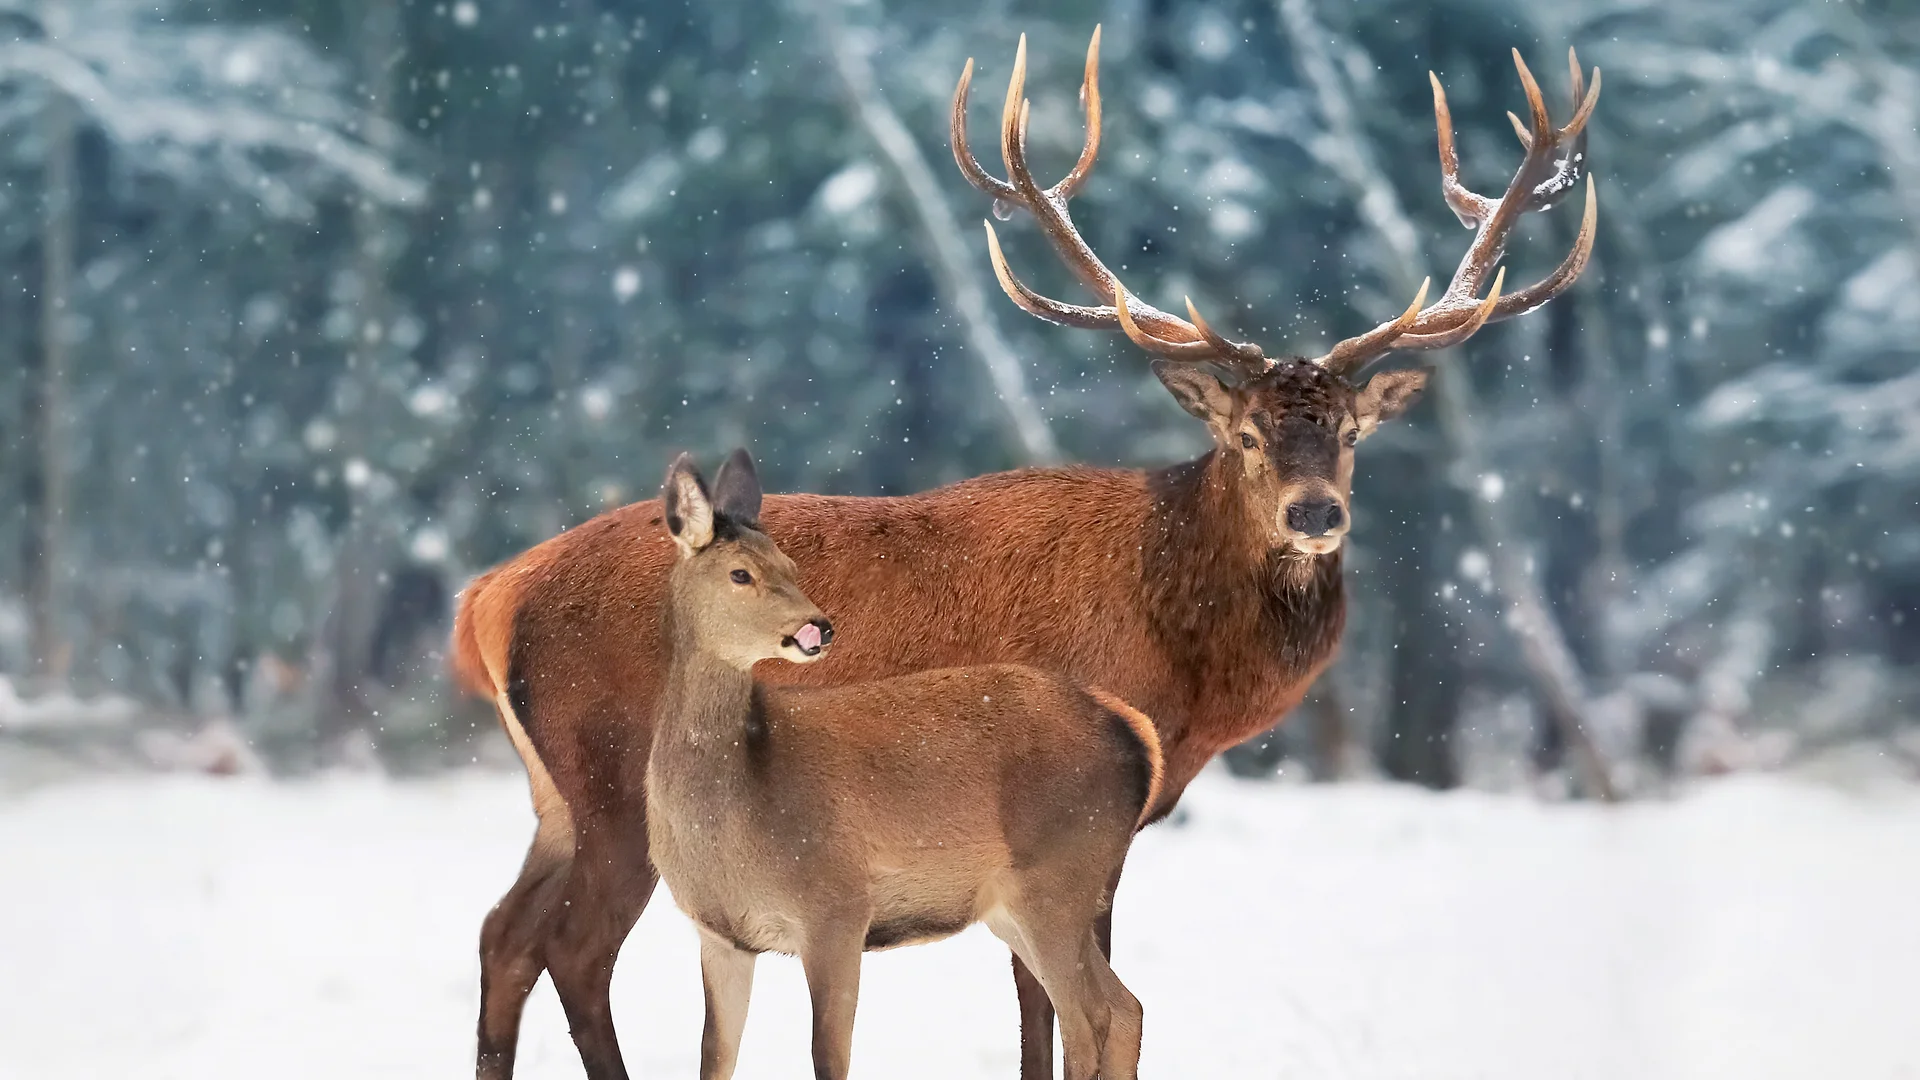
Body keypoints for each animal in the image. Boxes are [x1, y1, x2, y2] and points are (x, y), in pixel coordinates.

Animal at [646, 447, 1158, 1080]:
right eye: (740, 573)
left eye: (790, 563)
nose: (820, 628)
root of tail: (1137, 733)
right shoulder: (721, 935)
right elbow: (714, 1057)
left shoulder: (837, 907)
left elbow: (828, 1056)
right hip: (1020, 903)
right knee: (1126, 1006)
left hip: (1058, 877)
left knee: (1090, 1020)